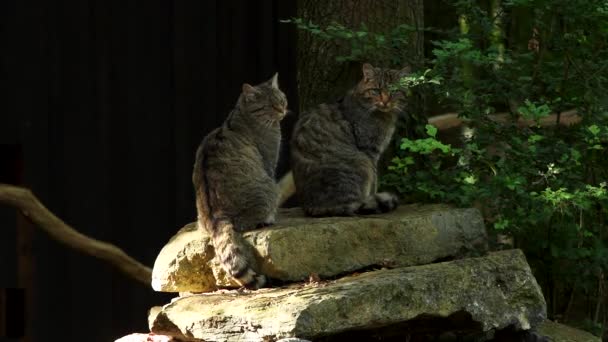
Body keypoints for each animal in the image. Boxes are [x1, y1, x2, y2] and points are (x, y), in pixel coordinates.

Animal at [195, 74, 290, 288]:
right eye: (269, 105)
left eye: (281, 100)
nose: (282, 110)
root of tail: (216, 216)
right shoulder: (269, 163)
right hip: (269, 189)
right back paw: (268, 218)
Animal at [290, 63, 408, 216]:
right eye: (376, 91)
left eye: (394, 91)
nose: (385, 101)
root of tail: (314, 207)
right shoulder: (370, 151)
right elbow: (374, 182)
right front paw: (372, 197)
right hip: (362, 161)